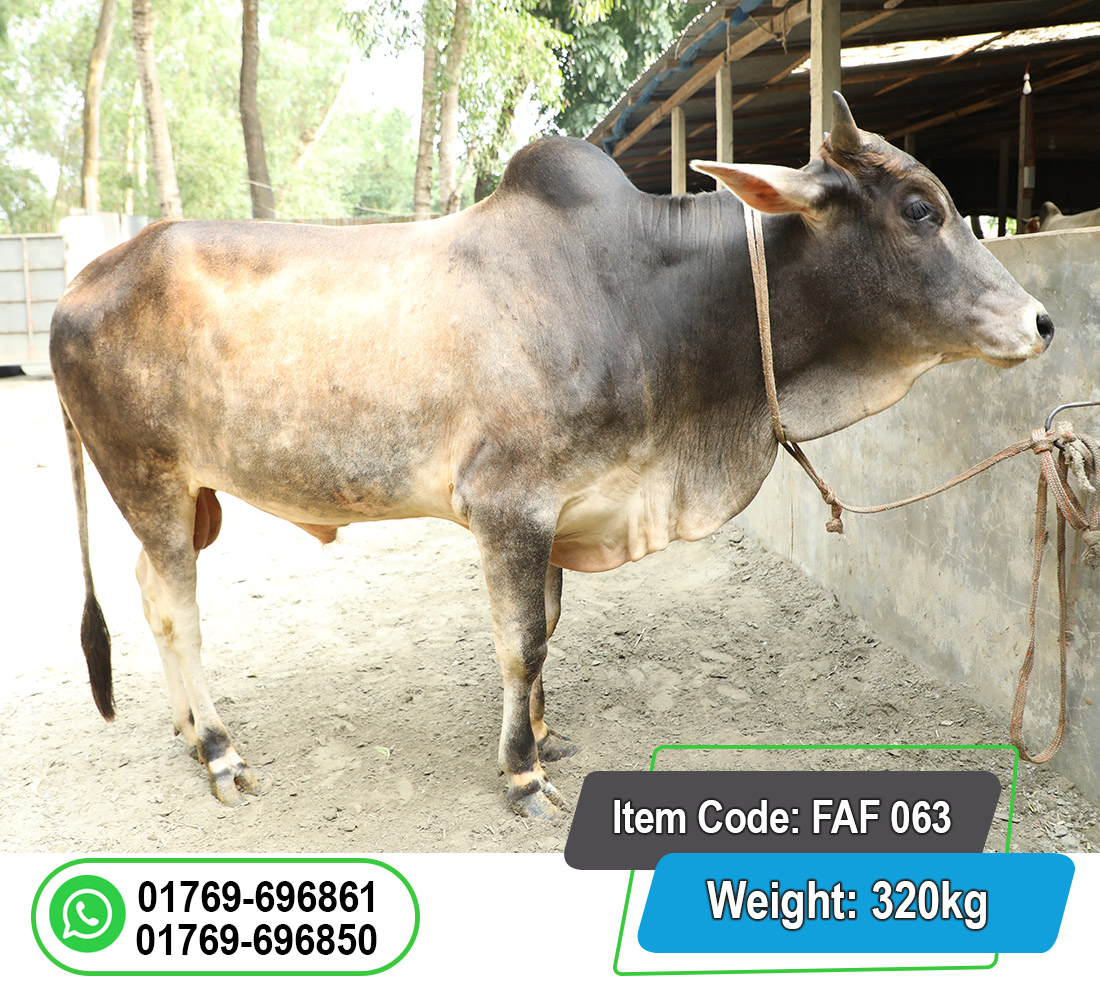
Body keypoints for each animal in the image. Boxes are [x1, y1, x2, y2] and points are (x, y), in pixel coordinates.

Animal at [51, 94, 1053, 820]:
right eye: (920, 209)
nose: (1043, 322)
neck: (648, 303)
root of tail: (84, 280)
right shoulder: (509, 507)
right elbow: (521, 639)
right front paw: (522, 774)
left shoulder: (563, 511)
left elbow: (549, 632)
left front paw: (544, 734)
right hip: (147, 480)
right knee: (177, 610)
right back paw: (220, 751)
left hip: (190, 498)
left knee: (149, 594)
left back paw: (189, 732)